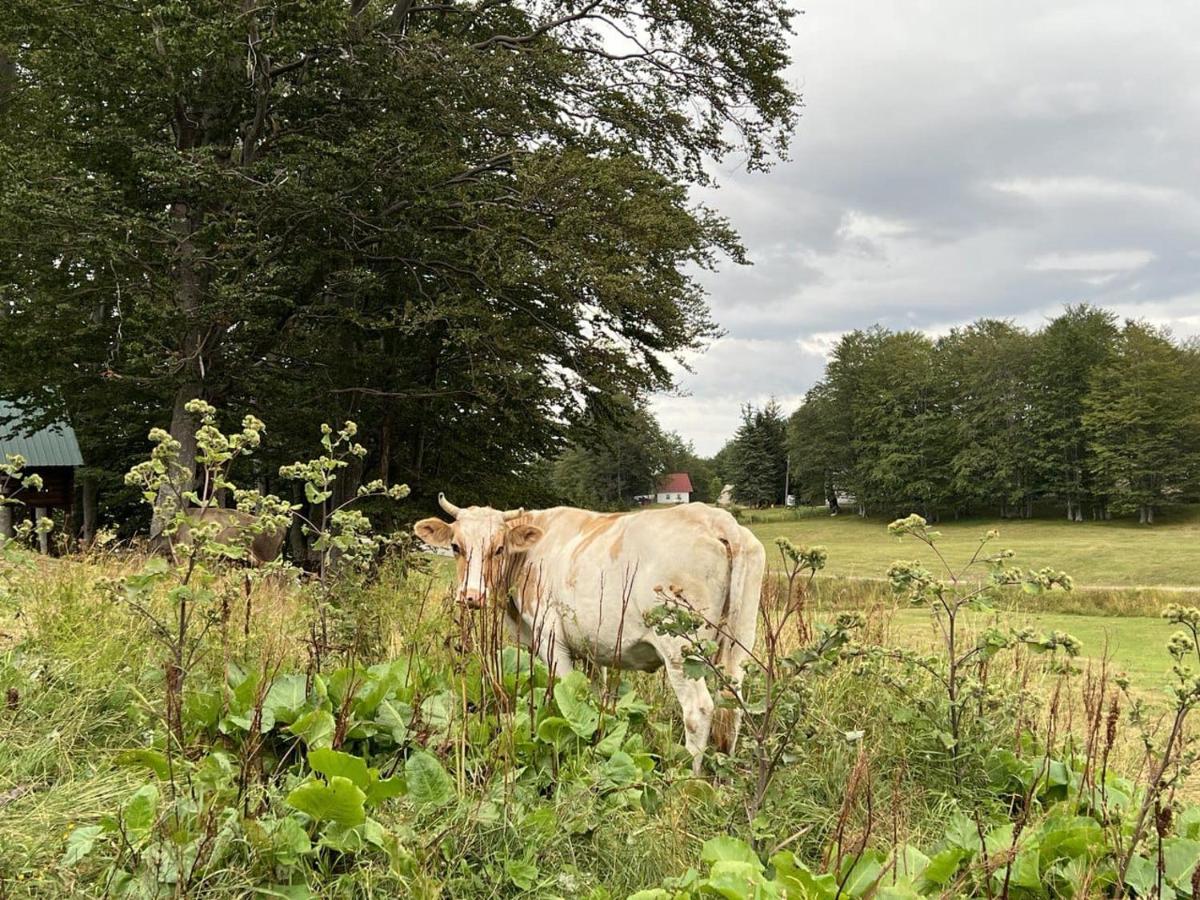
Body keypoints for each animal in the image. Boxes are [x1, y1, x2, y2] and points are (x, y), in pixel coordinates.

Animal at [417, 496, 763, 772]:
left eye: (499, 548)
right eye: (456, 547)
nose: (471, 596)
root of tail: (716, 518)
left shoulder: (550, 638)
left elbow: (562, 694)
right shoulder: (593, 648)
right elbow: (592, 698)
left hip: (680, 648)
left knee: (698, 709)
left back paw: (686, 777)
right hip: (740, 641)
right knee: (732, 702)